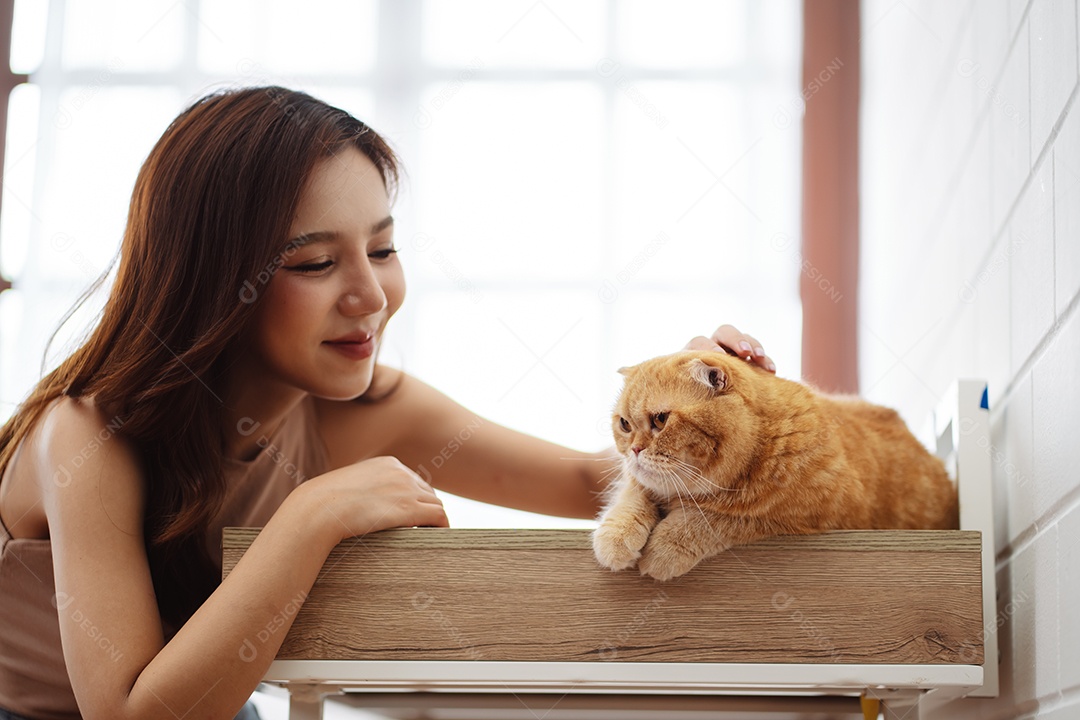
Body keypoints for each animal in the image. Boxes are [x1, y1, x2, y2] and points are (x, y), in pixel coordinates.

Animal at [596, 351, 959, 582]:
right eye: (625, 424)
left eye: (660, 419)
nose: (635, 449)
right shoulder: (639, 482)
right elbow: (629, 498)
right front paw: (615, 537)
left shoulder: (797, 514)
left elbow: (712, 519)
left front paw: (665, 548)